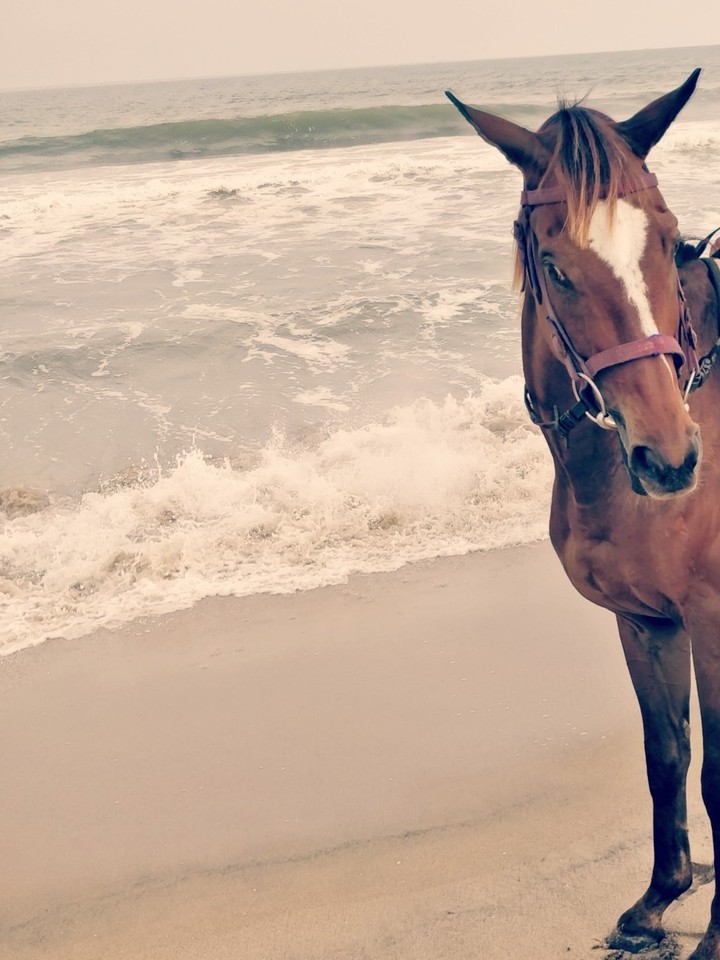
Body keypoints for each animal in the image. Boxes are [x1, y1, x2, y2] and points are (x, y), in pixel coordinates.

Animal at [447, 70, 720, 958]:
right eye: (555, 267)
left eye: (670, 240)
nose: (669, 456)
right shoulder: (646, 621)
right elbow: (667, 758)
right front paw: (658, 901)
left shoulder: (712, 617)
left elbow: (716, 770)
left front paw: (712, 934)